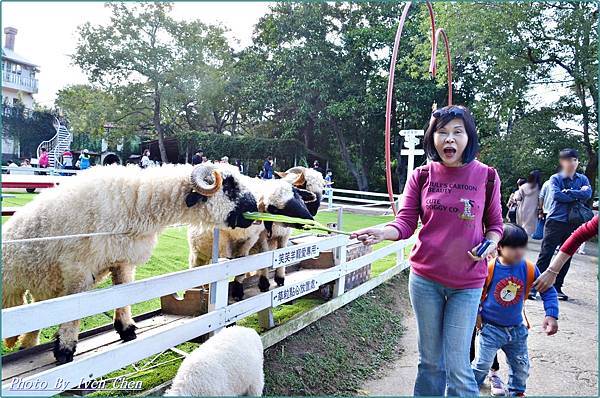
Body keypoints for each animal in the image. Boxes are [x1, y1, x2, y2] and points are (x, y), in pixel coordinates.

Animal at [1, 162, 258, 364]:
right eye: (229, 186)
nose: (255, 208)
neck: (135, 202)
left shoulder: (122, 260)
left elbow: (122, 296)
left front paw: (126, 330)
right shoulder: (78, 267)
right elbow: (73, 311)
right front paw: (65, 349)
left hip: (44, 284)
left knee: (35, 313)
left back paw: (25, 343)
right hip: (12, 284)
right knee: (16, 306)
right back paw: (12, 340)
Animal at [189, 173, 318, 300]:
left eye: (296, 195)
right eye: (274, 210)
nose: (309, 220)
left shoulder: (260, 237)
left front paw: (279, 279)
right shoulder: (227, 238)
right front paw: (260, 285)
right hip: (197, 251)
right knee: (196, 267)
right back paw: (198, 290)